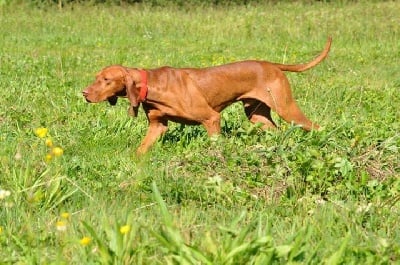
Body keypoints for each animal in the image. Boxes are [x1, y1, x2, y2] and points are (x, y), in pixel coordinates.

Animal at [82, 36, 332, 154]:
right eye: (96, 77)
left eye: (106, 80)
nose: (84, 93)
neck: (152, 85)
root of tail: (272, 65)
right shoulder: (157, 126)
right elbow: (141, 149)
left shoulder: (211, 118)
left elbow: (214, 144)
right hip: (258, 116)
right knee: (277, 131)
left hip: (286, 108)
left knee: (316, 127)